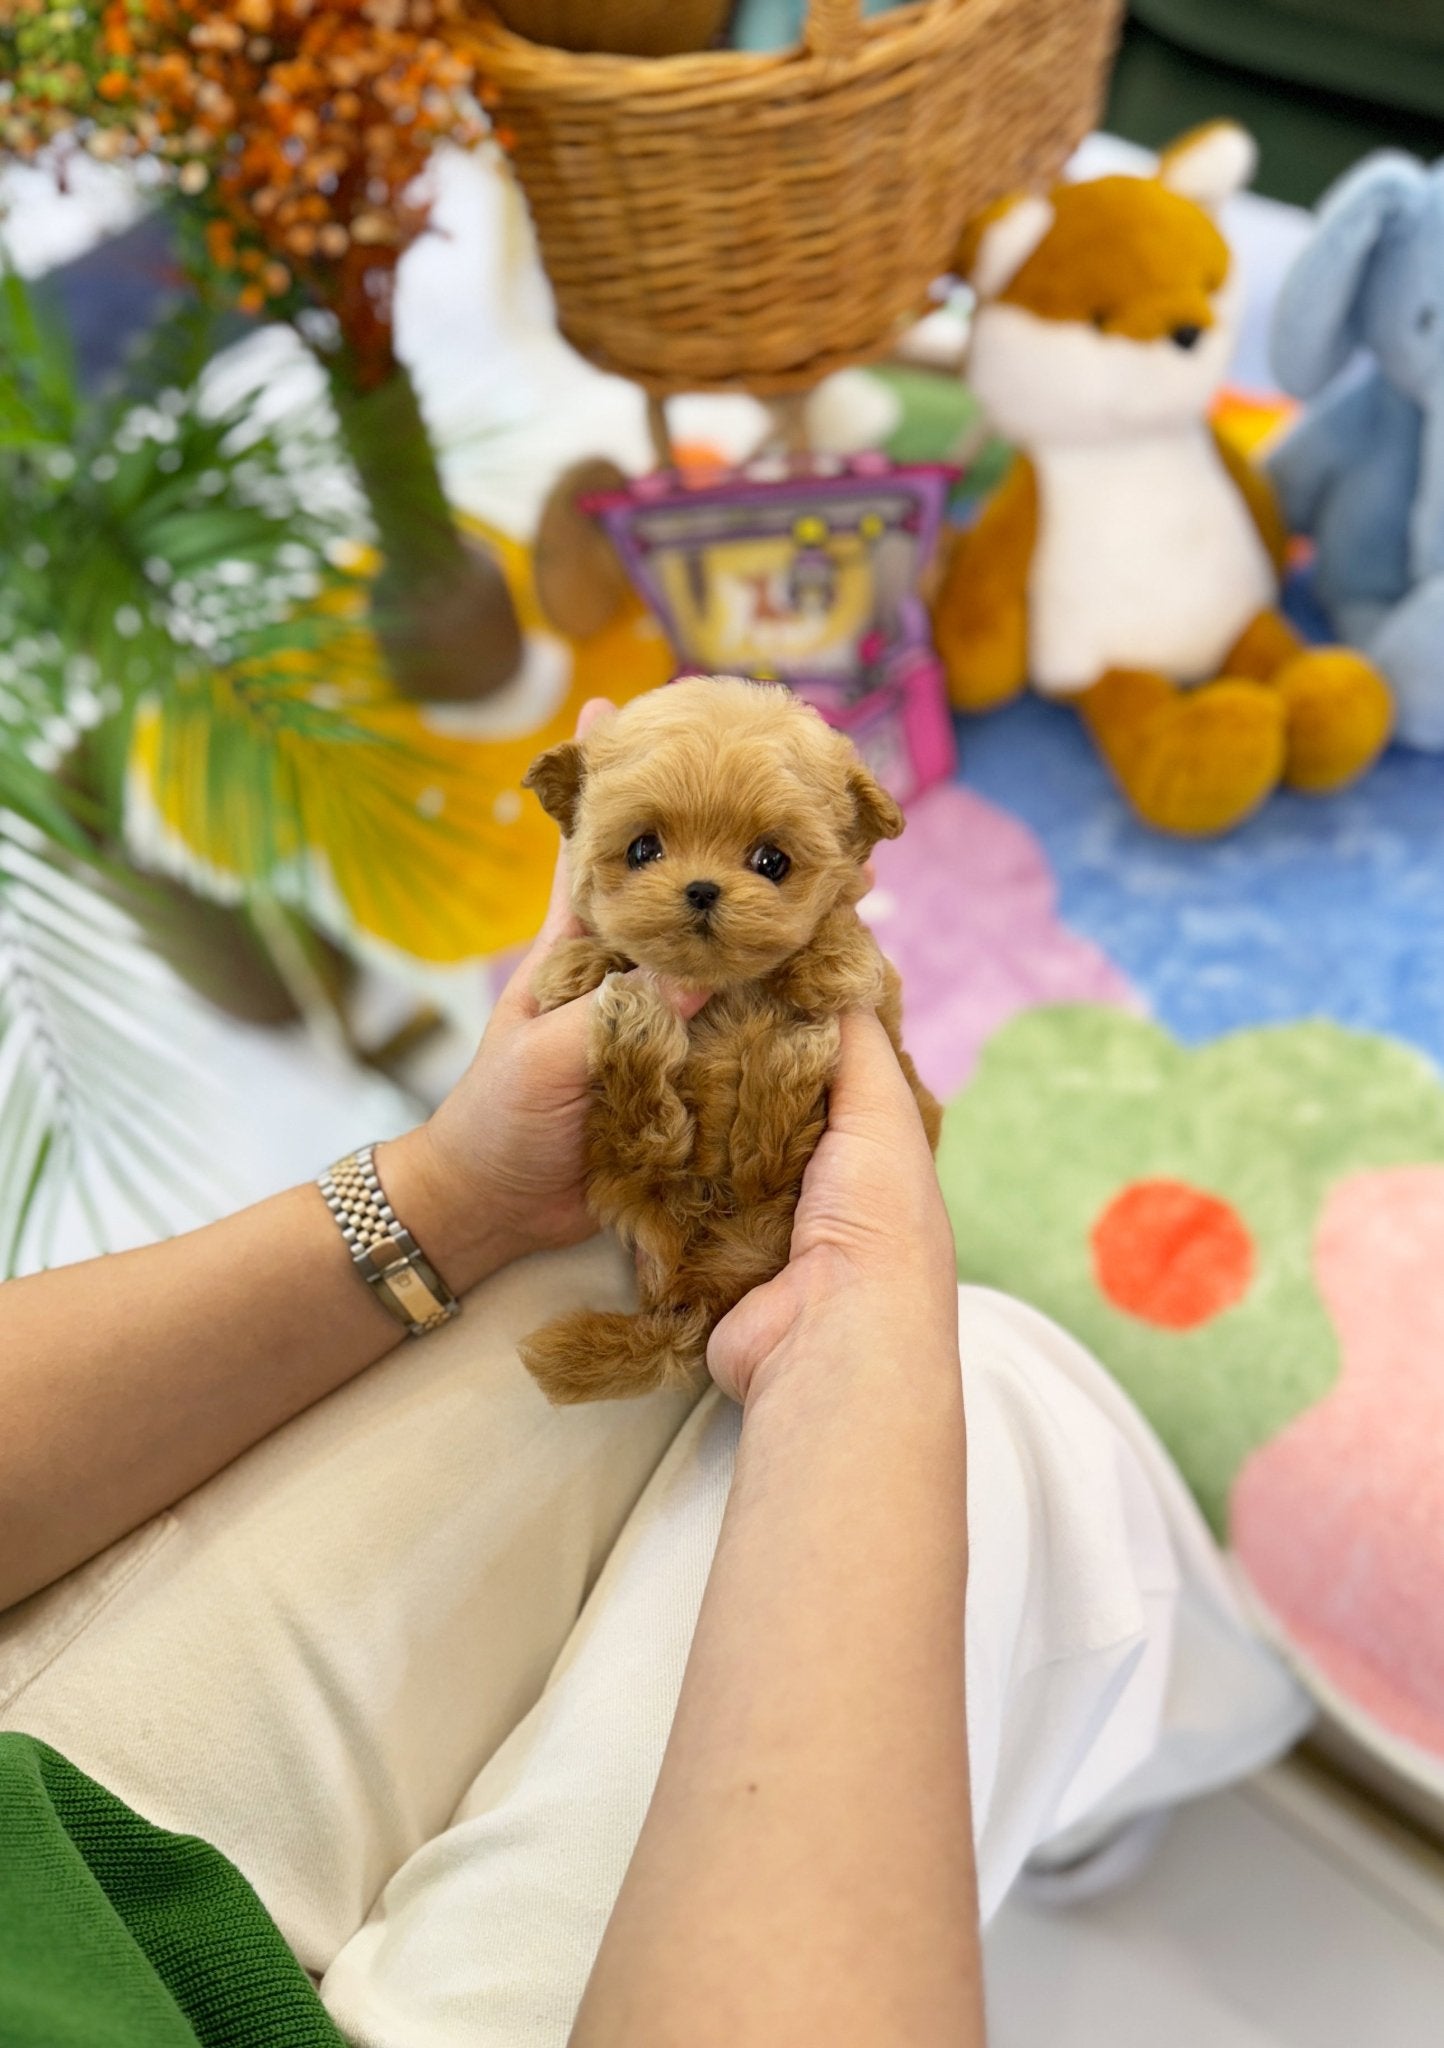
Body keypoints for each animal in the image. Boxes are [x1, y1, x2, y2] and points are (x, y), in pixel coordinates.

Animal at [516, 679, 933, 1400]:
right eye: (643, 850)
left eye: (772, 861)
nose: (703, 889)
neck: (722, 990)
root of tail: (702, 1296)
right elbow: (578, 970)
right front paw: (578, 969)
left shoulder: (882, 1005)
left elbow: (849, 953)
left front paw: (827, 962)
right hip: (628, 1178)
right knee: (653, 1144)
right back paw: (636, 1029)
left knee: (765, 1163)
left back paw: (788, 1059)